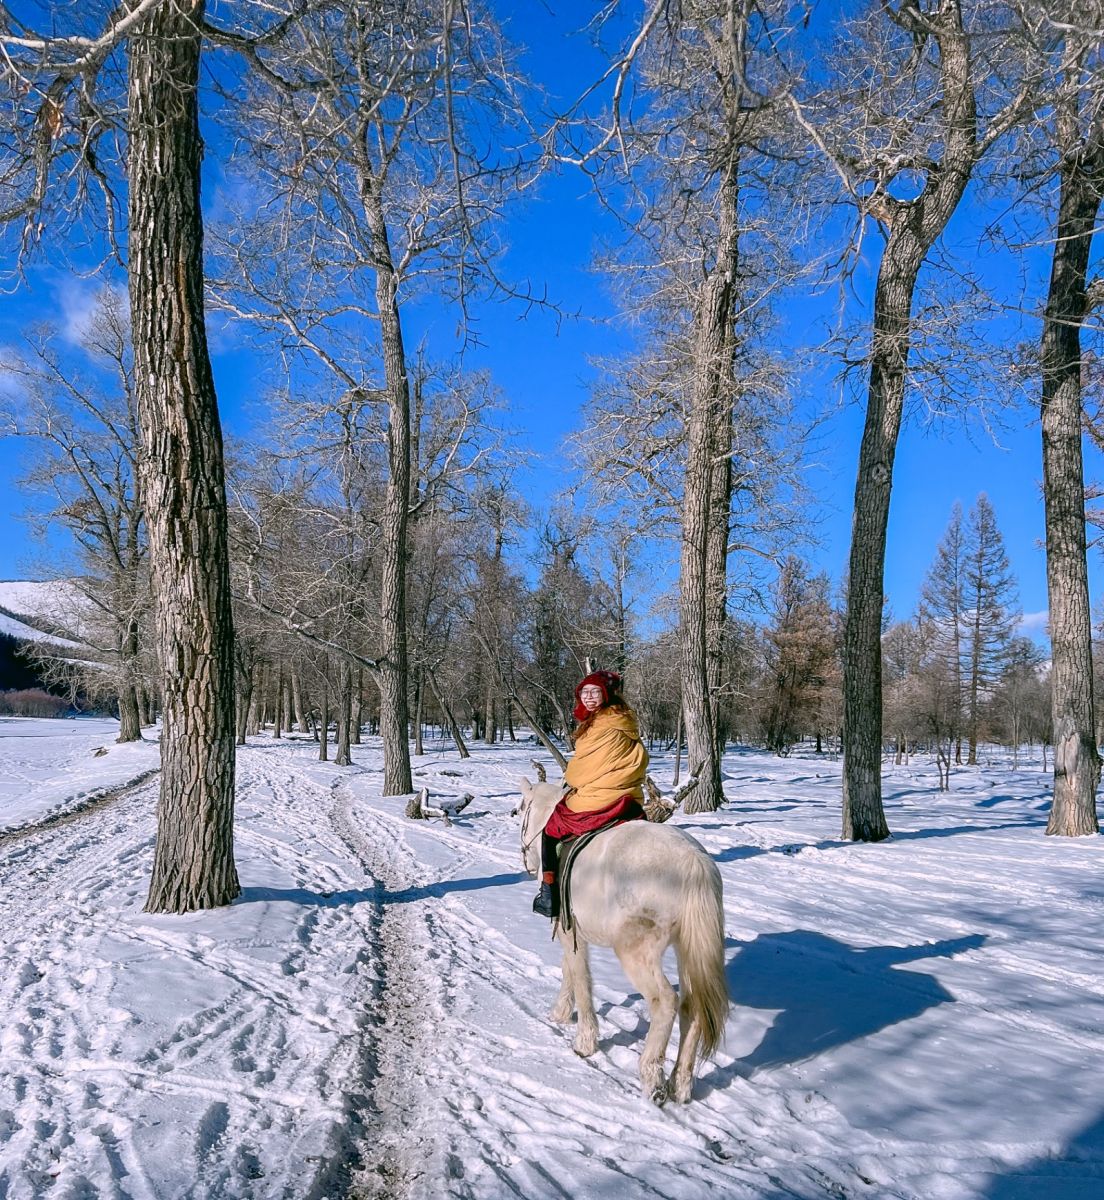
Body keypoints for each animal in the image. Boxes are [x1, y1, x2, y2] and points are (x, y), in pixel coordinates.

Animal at [516, 777, 729, 1104]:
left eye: (519, 811)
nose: (525, 859)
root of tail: (693, 863)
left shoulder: (568, 929)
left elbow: (580, 976)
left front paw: (584, 1041)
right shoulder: (572, 930)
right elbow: (569, 970)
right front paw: (561, 1013)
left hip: (635, 951)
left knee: (665, 1002)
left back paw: (652, 1078)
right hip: (687, 950)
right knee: (691, 1007)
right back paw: (680, 1086)